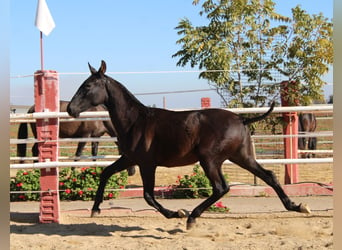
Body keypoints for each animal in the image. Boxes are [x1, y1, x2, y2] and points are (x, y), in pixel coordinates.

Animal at [66, 61, 310, 229]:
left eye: (87, 86)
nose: (70, 109)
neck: (135, 121)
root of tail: (241, 119)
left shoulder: (147, 164)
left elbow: (148, 195)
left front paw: (177, 213)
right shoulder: (129, 159)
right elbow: (105, 173)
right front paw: (95, 209)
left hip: (209, 160)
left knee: (221, 187)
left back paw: (191, 217)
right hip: (241, 157)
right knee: (268, 176)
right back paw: (297, 206)